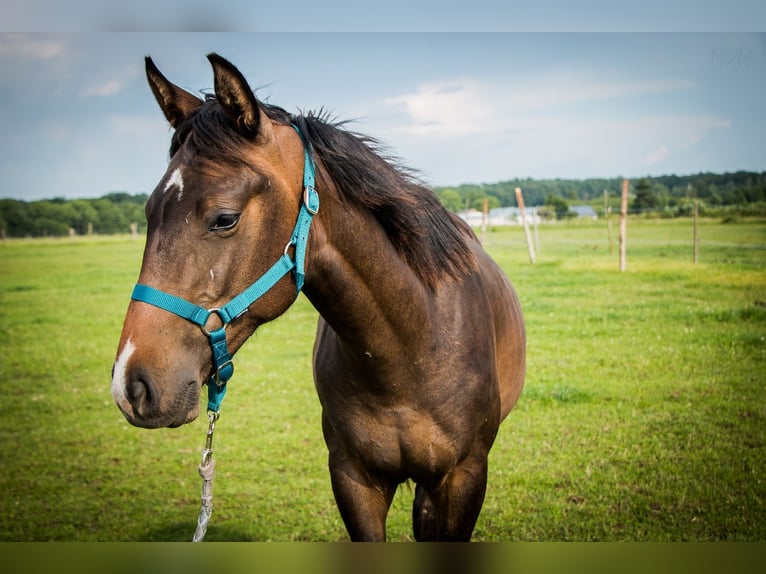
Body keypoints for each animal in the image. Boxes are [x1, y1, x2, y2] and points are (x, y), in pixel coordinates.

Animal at [109, 51, 528, 544]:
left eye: (224, 218)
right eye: (149, 212)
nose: (131, 385)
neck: (412, 347)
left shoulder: (464, 477)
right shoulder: (353, 479)